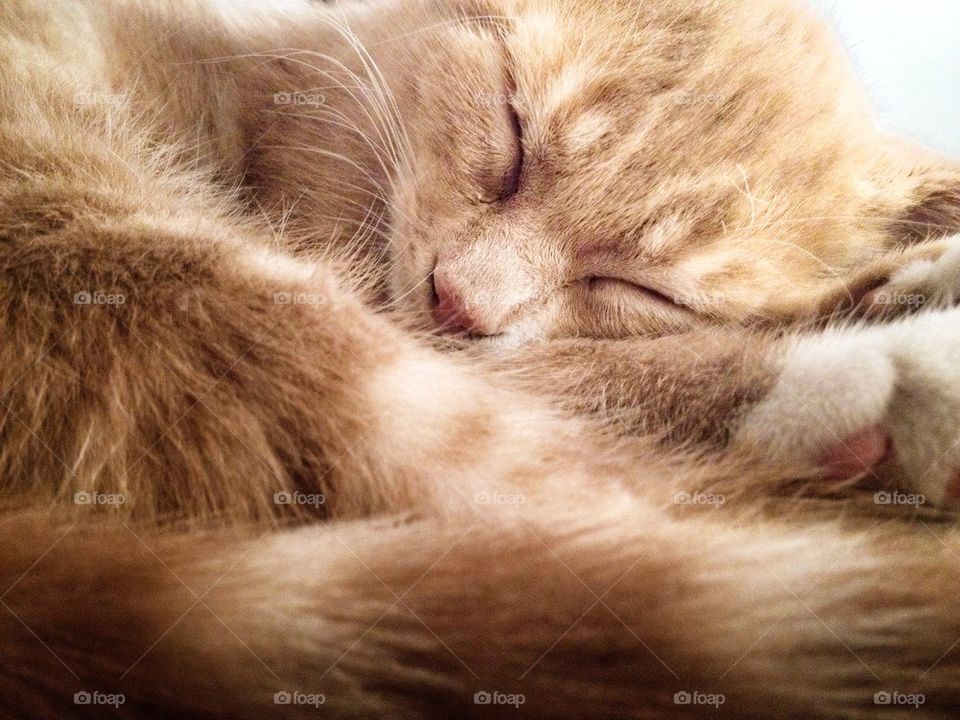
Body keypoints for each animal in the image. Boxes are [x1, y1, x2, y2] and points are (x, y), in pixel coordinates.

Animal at [1, 0, 960, 716]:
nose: (459, 301)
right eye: (513, 136)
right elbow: (569, 382)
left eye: (638, 287)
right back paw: (873, 385)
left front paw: (901, 277)